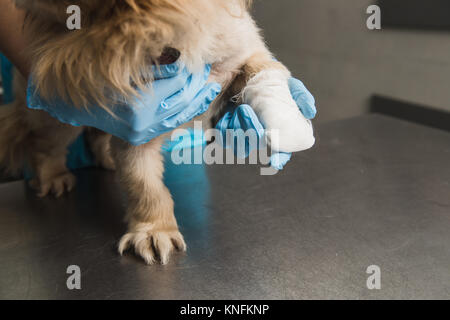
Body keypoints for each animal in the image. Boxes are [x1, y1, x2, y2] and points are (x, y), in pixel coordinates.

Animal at [1, 0, 314, 264]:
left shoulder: (244, 53)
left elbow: (262, 71)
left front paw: (285, 120)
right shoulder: (139, 130)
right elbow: (145, 185)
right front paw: (154, 231)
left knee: (97, 134)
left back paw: (105, 158)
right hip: (60, 118)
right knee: (43, 145)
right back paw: (53, 176)